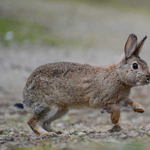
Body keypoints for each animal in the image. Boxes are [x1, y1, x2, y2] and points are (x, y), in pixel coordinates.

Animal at [13, 33, 149, 135]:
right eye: (135, 66)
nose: (149, 78)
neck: (119, 76)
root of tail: (26, 93)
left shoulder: (121, 99)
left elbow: (129, 102)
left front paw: (140, 109)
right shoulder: (101, 100)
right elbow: (116, 109)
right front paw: (114, 120)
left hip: (61, 110)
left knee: (45, 122)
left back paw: (58, 132)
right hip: (48, 106)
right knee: (32, 121)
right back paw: (46, 134)